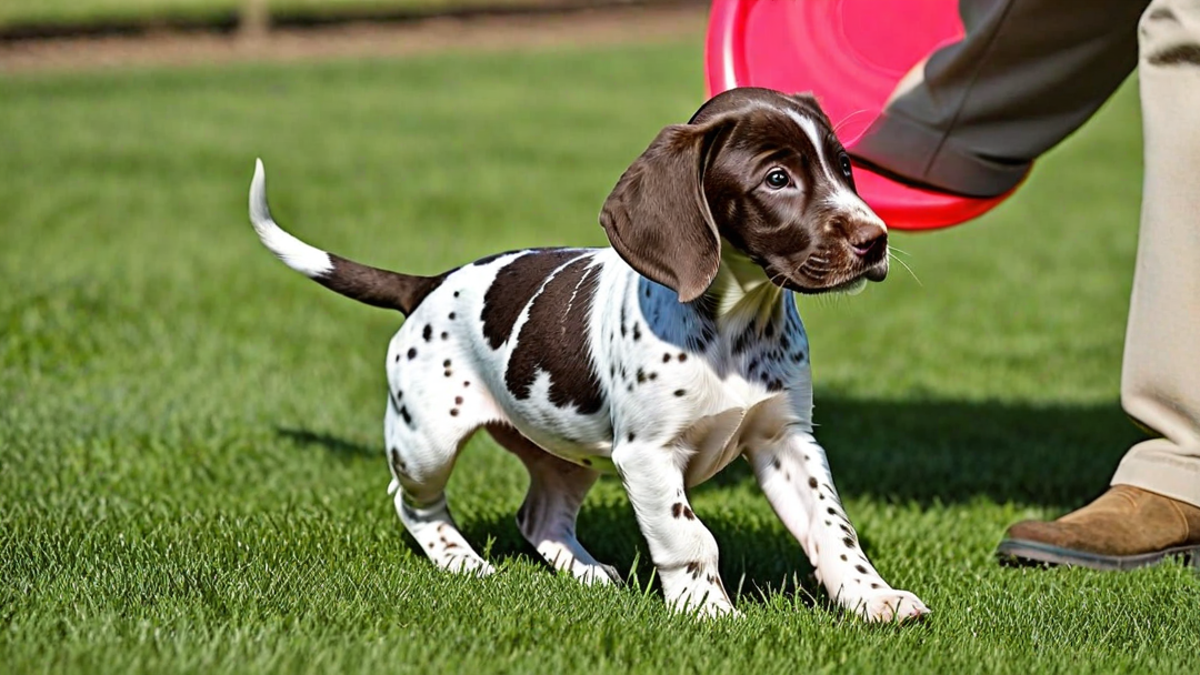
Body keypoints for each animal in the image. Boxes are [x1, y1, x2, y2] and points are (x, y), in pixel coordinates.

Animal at [248, 88, 931, 619]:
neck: (736, 328)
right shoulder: (649, 456)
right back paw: (462, 562)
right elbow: (689, 536)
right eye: (777, 179)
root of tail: (428, 284)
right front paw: (707, 610)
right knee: (413, 503)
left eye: (845, 169)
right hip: (426, 442)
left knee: (540, 517)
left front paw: (874, 598)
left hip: (566, 449)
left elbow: (834, 529)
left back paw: (589, 574)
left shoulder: (788, 441)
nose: (875, 241)